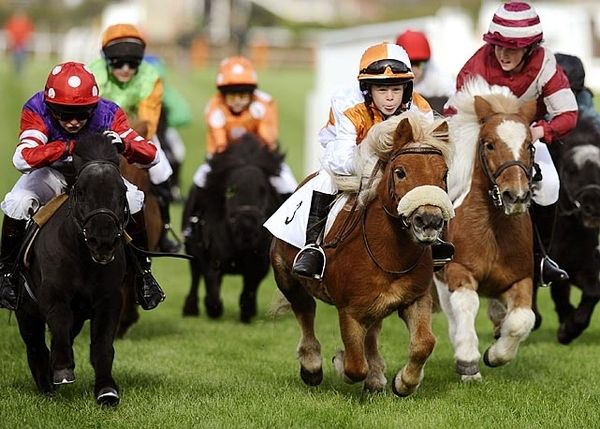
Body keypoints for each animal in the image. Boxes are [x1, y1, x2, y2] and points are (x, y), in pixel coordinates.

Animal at [15, 133, 129, 404]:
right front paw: (62, 369)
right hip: (25, 310)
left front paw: (106, 390)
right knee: (35, 344)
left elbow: (102, 344)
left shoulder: (109, 299)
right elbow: (59, 325)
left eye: (122, 191)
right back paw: (45, 383)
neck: (83, 258)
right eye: (81, 191)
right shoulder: (54, 294)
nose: (102, 240)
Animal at [270, 112, 452, 396]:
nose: (429, 221)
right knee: (305, 310)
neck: (388, 255)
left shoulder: (416, 298)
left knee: (372, 332)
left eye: (444, 173)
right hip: (286, 277)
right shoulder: (349, 310)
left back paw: (376, 375)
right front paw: (340, 362)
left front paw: (404, 382)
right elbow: (355, 366)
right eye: (400, 172)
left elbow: (424, 343)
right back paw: (311, 366)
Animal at [434, 75, 536, 380]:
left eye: (530, 145)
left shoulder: (520, 279)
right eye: (489, 144)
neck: (494, 229)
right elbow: (466, 306)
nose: (516, 196)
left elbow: (522, 319)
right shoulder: (458, 271)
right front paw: (468, 362)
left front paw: (497, 354)